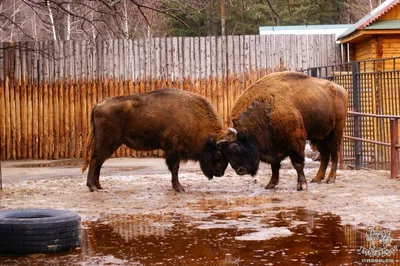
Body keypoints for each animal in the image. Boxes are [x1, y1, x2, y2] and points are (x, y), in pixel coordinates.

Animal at [81, 88, 228, 192]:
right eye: (218, 154)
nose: (220, 173)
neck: (192, 118)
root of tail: (98, 105)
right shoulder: (173, 150)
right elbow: (175, 168)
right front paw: (179, 188)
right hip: (108, 142)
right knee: (95, 160)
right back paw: (92, 187)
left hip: (109, 144)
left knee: (99, 162)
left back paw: (99, 186)